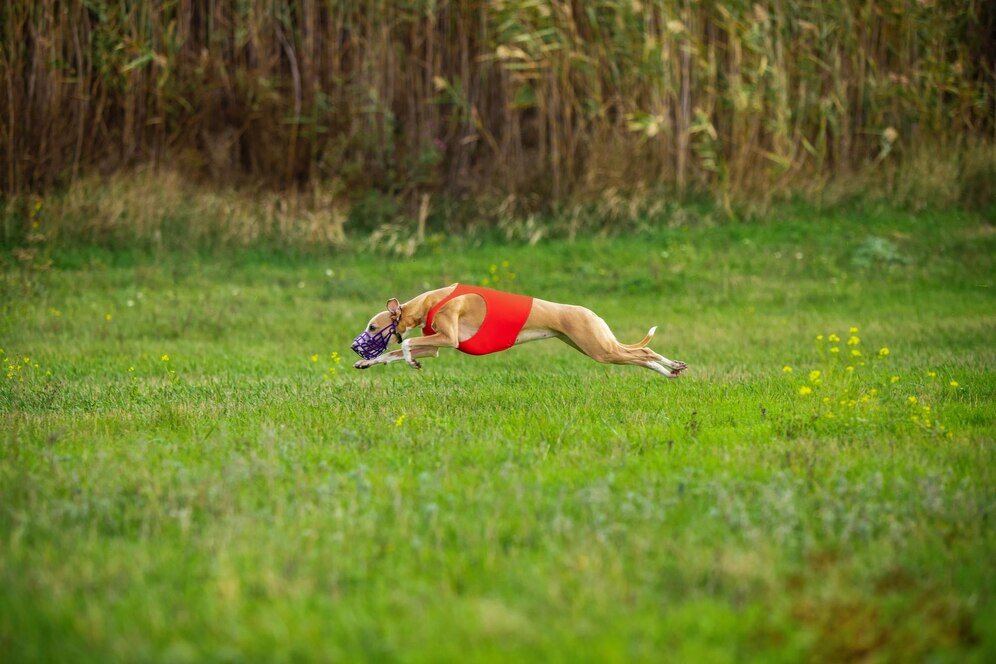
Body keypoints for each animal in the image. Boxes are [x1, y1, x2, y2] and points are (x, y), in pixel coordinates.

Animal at [354, 284, 688, 378]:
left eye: (372, 326)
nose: (353, 347)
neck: (428, 302)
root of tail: (590, 312)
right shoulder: (436, 345)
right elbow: (394, 352)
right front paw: (366, 362)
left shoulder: (448, 337)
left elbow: (406, 344)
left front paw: (412, 362)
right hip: (588, 344)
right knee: (641, 351)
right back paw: (673, 367)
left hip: (600, 349)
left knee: (642, 351)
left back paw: (669, 368)